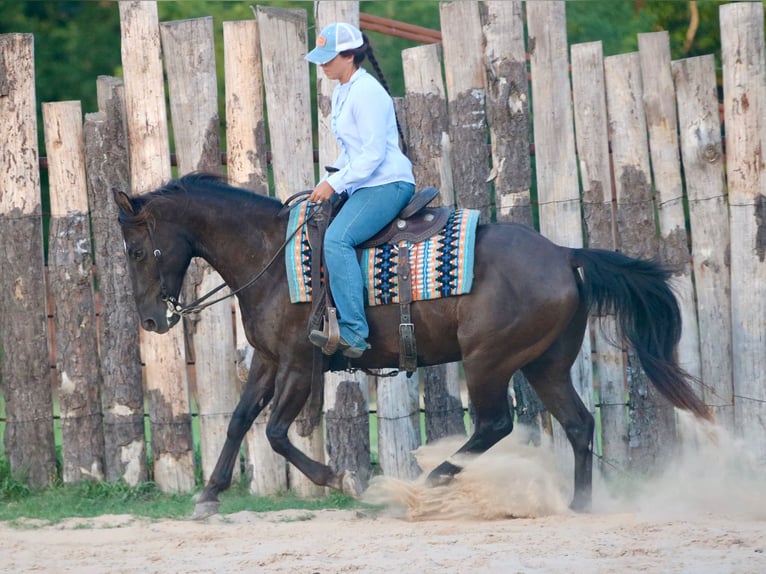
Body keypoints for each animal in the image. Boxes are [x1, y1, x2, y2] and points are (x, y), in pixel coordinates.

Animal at [113, 172, 710, 519]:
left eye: (137, 250)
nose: (151, 319)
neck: (273, 258)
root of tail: (566, 254)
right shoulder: (268, 360)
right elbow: (240, 421)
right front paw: (209, 495)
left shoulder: (301, 365)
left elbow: (278, 433)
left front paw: (341, 478)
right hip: (545, 364)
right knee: (580, 424)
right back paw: (579, 504)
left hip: (489, 361)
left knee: (495, 425)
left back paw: (424, 485)